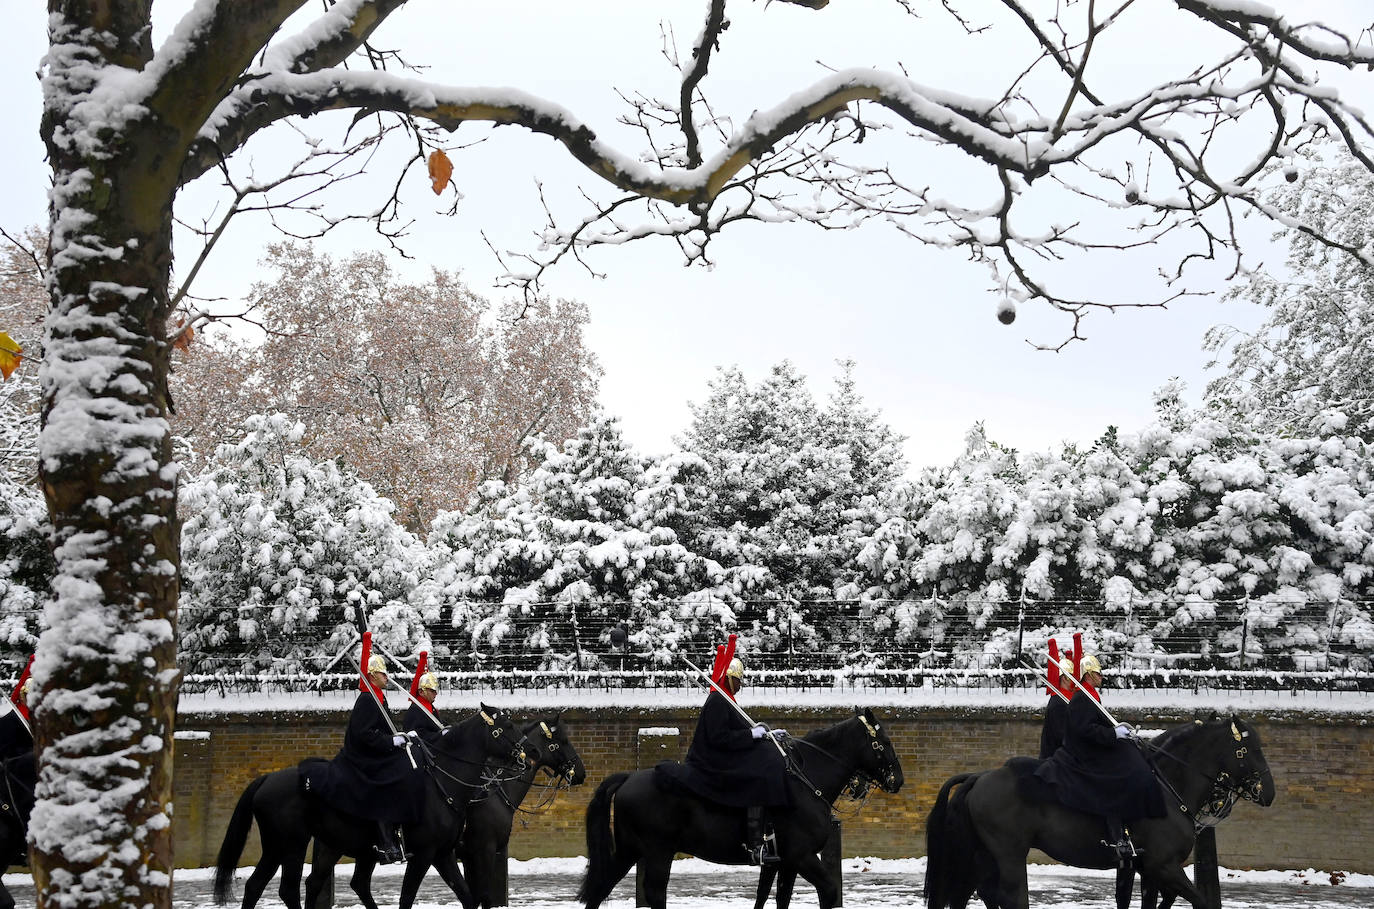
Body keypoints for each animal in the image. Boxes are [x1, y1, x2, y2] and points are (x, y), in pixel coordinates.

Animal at [217, 703, 522, 909]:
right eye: (506, 726)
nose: (523, 756)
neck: (443, 781)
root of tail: (267, 778)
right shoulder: (428, 854)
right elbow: (407, 898)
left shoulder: (443, 854)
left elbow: (468, 897)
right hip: (293, 844)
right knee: (289, 890)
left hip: (287, 846)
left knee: (259, 885)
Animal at [464, 719, 588, 909]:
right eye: (564, 740)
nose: (581, 772)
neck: (496, 788)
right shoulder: (483, 851)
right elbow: (482, 896)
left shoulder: (470, 855)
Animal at [577, 714, 901, 909]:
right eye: (883, 742)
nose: (898, 780)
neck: (805, 780)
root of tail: (629, 777)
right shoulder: (803, 857)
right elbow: (829, 891)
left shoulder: (784, 862)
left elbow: (773, 897)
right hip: (657, 852)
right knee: (653, 891)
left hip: (631, 850)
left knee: (601, 886)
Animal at [923, 719, 1275, 909]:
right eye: (1250, 750)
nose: (1269, 793)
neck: (1166, 785)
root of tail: (979, 776)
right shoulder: (1163, 866)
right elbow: (1199, 900)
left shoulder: (1148, 870)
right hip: (1008, 855)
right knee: (1008, 897)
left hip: (982, 854)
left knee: (972, 893)